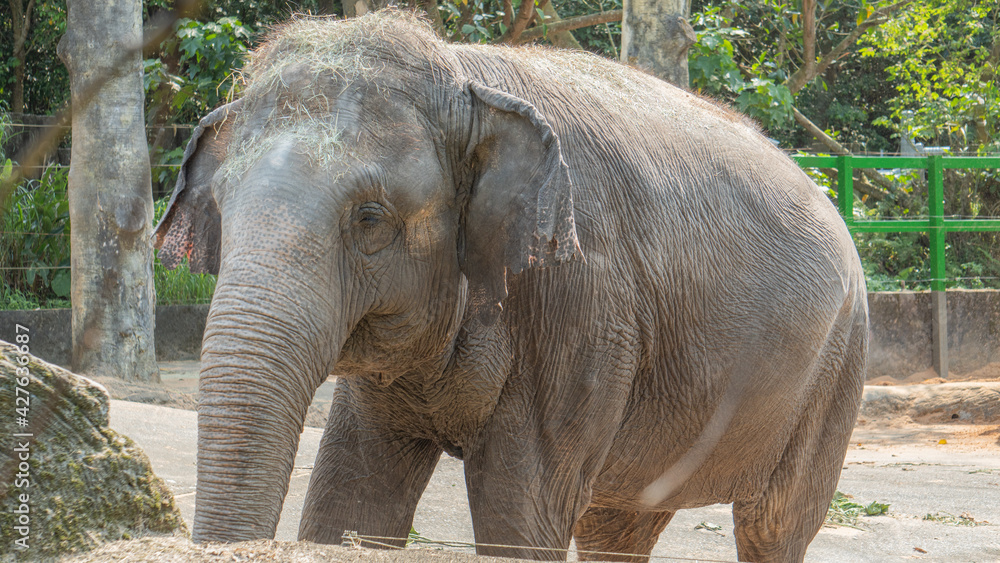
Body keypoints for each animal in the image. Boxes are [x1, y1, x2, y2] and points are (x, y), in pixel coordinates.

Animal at [154, 10, 868, 563]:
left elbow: (519, 509)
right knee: (619, 523)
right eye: (221, 209)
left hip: (837, 366)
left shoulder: (581, 302)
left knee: (774, 526)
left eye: (370, 219)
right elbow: (351, 495)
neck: (460, 76)